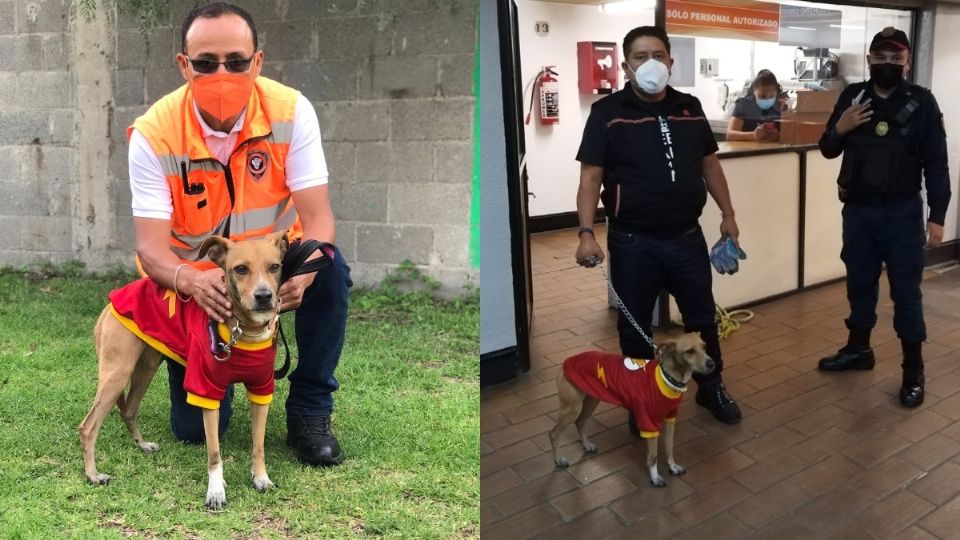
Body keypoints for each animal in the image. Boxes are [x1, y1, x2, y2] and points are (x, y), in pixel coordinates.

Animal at [79, 232, 286, 510]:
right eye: (241, 269)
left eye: (274, 267)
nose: (264, 296)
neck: (243, 330)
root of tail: (112, 301)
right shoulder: (207, 392)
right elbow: (214, 453)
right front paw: (216, 491)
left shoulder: (261, 390)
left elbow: (258, 445)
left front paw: (261, 477)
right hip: (117, 375)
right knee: (88, 427)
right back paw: (92, 475)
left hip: (145, 368)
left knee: (129, 411)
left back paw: (142, 445)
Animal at [548, 334, 712, 490]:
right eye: (689, 351)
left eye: (704, 347)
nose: (712, 363)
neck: (669, 377)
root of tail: (567, 362)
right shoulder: (649, 424)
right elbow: (653, 456)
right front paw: (655, 478)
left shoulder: (670, 419)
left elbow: (669, 447)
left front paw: (672, 467)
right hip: (571, 408)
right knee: (554, 434)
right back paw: (558, 460)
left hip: (591, 401)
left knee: (580, 422)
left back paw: (586, 445)